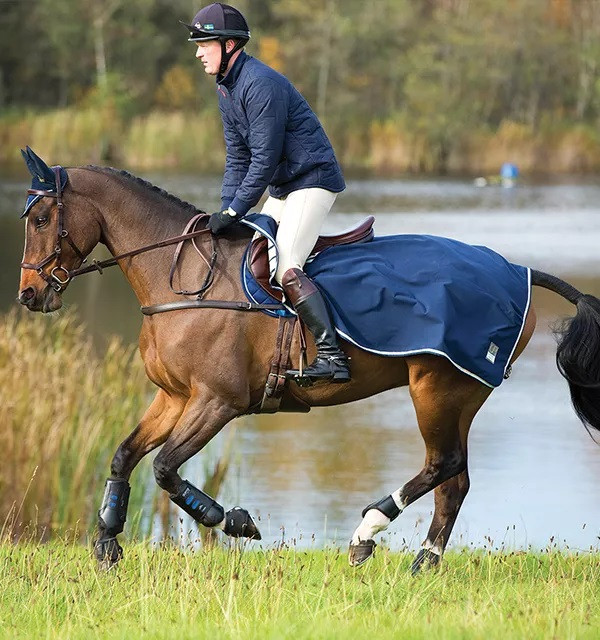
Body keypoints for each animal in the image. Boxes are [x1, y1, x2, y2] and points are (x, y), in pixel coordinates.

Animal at [17, 148, 600, 573]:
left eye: (42, 218)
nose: (28, 294)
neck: (182, 278)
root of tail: (519, 269)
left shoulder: (217, 402)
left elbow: (164, 468)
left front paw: (234, 520)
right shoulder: (175, 397)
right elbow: (124, 456)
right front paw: (108, 542)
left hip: (438, 389)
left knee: (444, 465)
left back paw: (366, 533)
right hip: (458, 396)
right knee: (454, 480)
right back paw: (424, 562)